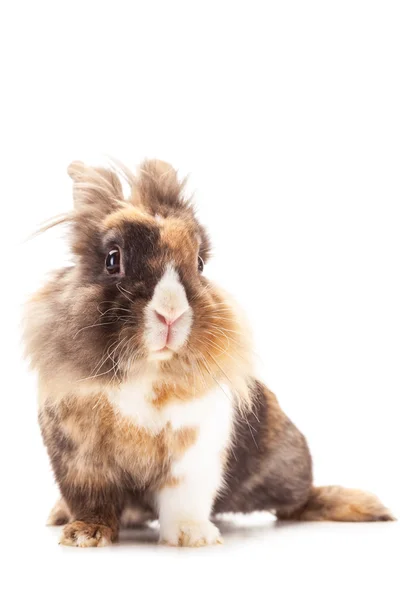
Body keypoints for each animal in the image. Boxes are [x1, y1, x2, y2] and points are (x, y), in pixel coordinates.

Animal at [23, 158, 396, 548]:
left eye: (199, 264)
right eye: (113, 260)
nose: (170, 314)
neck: (148, 369)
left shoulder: (195, 447)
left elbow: (182, 495)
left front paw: (192, 536)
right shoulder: (80, 455)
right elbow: (91, 498)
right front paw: (85, 535)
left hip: (286, 464)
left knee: (299, 500)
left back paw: (363, 505)